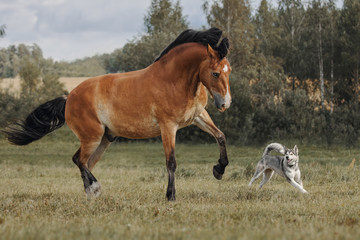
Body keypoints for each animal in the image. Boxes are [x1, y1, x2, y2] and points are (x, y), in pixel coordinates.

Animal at [2, 28, 232, 201]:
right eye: (215, 73)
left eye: (228, 71)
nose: (225, 103)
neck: (173, 80)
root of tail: (69, 98)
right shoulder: (168, 127)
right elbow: (171, 162)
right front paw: (171, 196)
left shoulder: (198, 117)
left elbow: (220, 136)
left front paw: (218, 170)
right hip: (92, 137)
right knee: (79, 160)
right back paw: (95, 188)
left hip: (105, 139)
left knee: (86, 163)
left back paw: (90, 194)